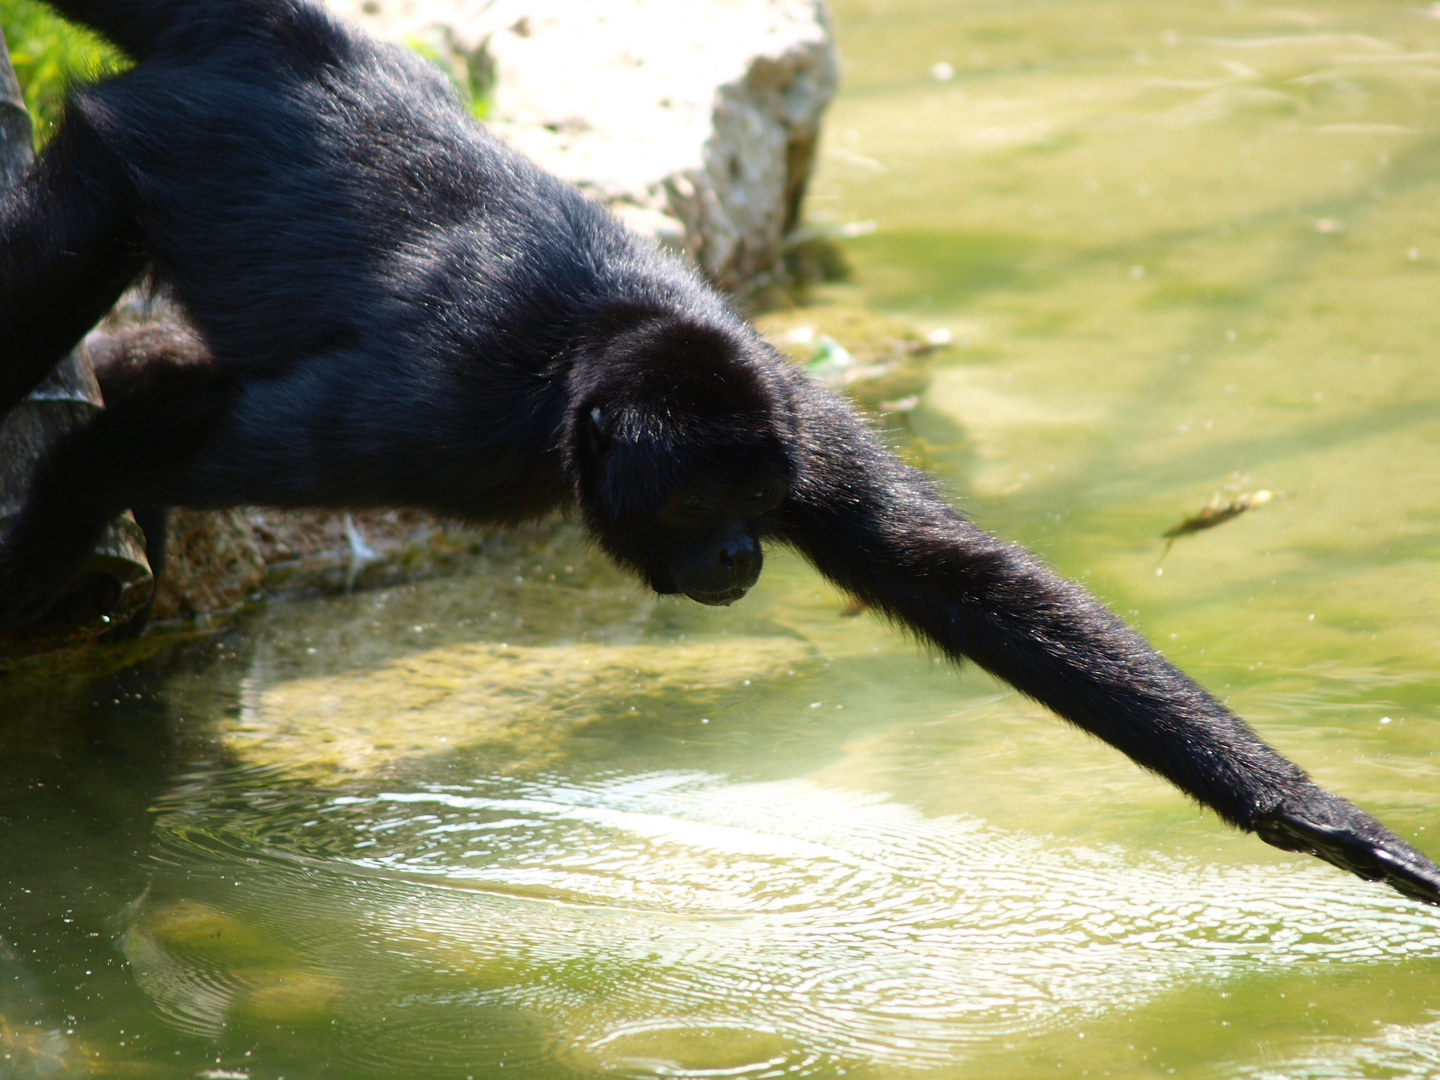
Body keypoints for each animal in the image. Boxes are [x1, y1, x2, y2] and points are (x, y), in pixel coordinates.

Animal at [8, 0, 1440, 904]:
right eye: (700, 504)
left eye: (756, 498)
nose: (745, 553)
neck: (592, 351)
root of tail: (288, 42)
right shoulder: (436, 427)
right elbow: (143, 450)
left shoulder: (799, 423)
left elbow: (956, 579)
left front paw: (1330, 825)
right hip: (134, 159)